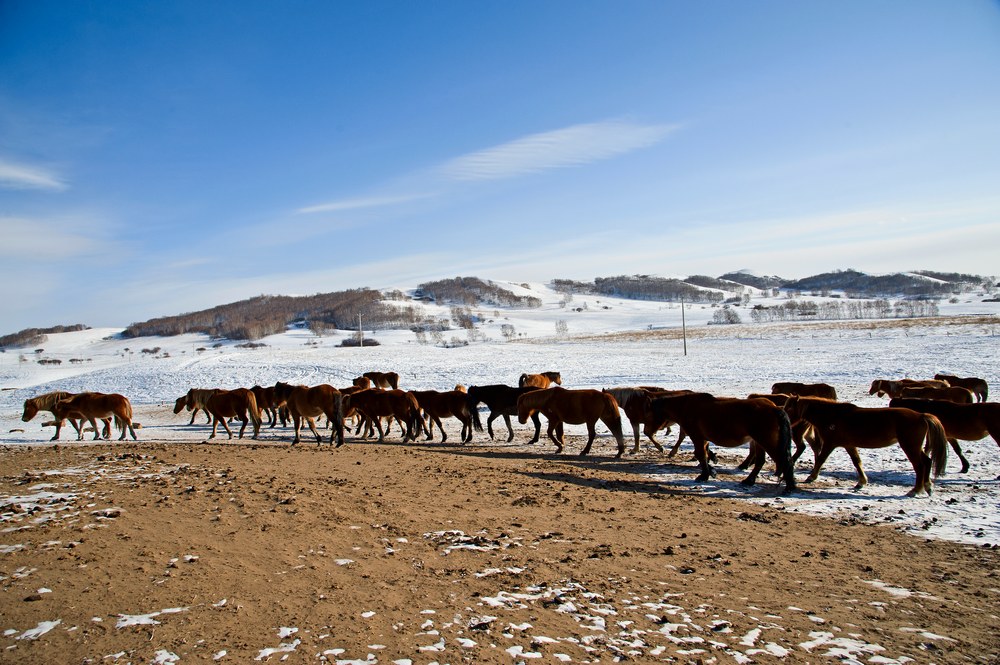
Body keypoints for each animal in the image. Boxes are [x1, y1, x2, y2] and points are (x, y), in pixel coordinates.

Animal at [648, 392, 796, 490]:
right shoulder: (703, 439)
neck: (685, 407)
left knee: (785, 461)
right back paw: (749, 480)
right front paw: (710, 472)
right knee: (760, 462)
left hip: (766, 442)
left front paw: (704, 475)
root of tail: (774, 408)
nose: (648, 431)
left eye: (651, 413)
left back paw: (790, 487)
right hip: (759, 442)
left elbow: (700, 455)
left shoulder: (697, 437)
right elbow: (703, 455)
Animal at [780, 394, 944, 492]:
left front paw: (811, 477)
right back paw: (928, 486)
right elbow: (857, 461)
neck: (832, 416)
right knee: (927, 461)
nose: (783, 416)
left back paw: (916, 490)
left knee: (919, 465)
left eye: (790, 408)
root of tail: (921, 416)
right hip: (914, 447)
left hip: (909, 446)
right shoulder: (849, 444)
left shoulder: (830, 443)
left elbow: (820, 459)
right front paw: (862, 481)